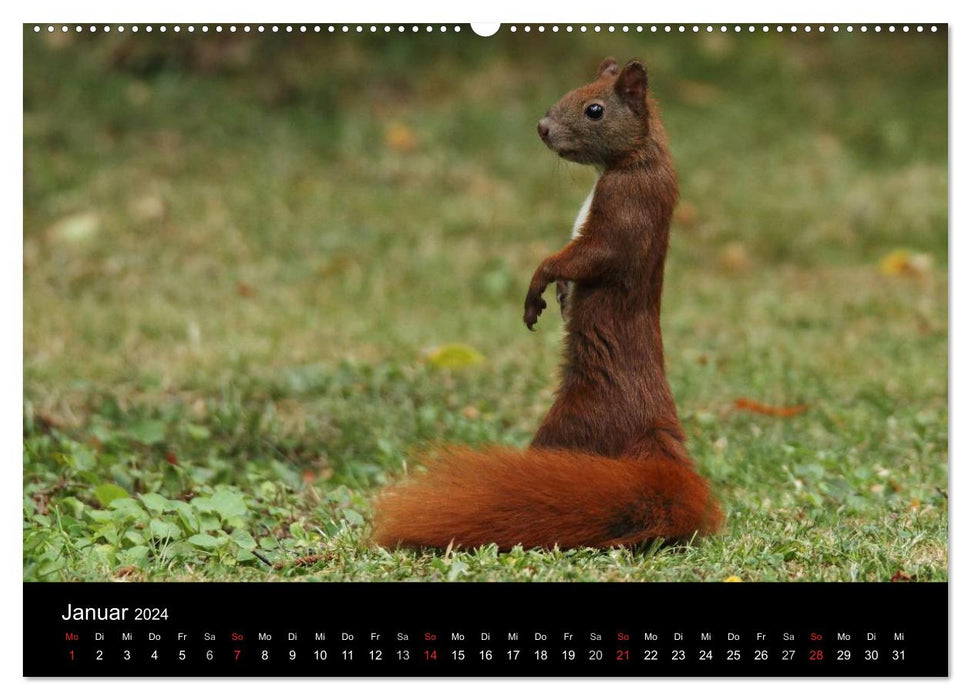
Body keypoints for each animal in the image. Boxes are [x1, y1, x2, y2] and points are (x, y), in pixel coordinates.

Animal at [372, 58, 720, 552]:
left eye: (595, 109)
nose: (542, 128)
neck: (635, 158)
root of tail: (655, 434)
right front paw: (554, 296)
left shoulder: (628, 207)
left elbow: (587, 254)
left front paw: (538, 286)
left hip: (574, 425)